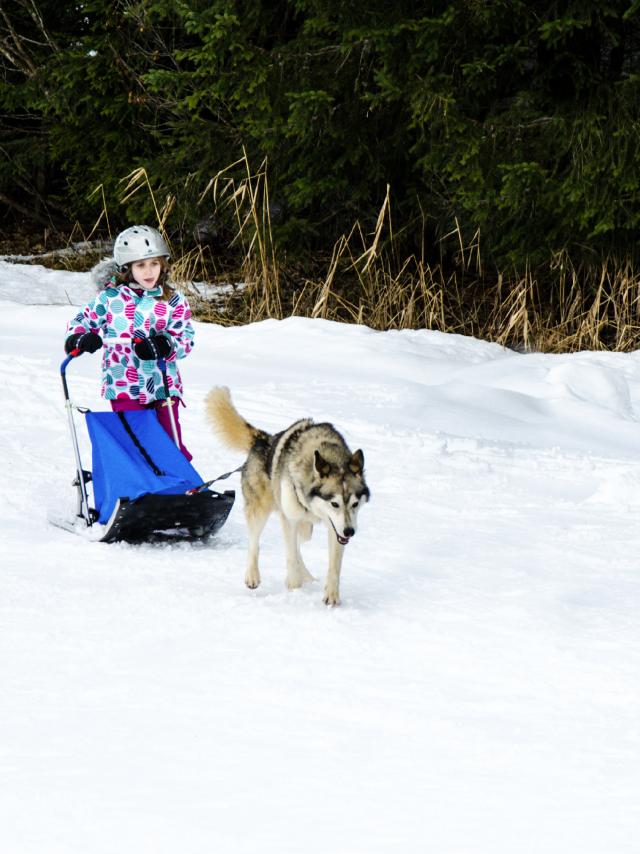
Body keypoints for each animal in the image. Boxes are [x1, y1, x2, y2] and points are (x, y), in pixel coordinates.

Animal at [205, 392, 370, 604]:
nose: (350, 532)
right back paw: (253, 575)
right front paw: (294, 586)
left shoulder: (335, 528)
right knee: (255, 543)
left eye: (355, 504)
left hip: (306, 528)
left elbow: (334, 566)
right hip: (260, 510)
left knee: (299, 545)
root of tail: (263, 439)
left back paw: (306, 575)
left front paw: (332, 595)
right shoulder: (289, 518)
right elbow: (290, 556)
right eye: (335, 503)